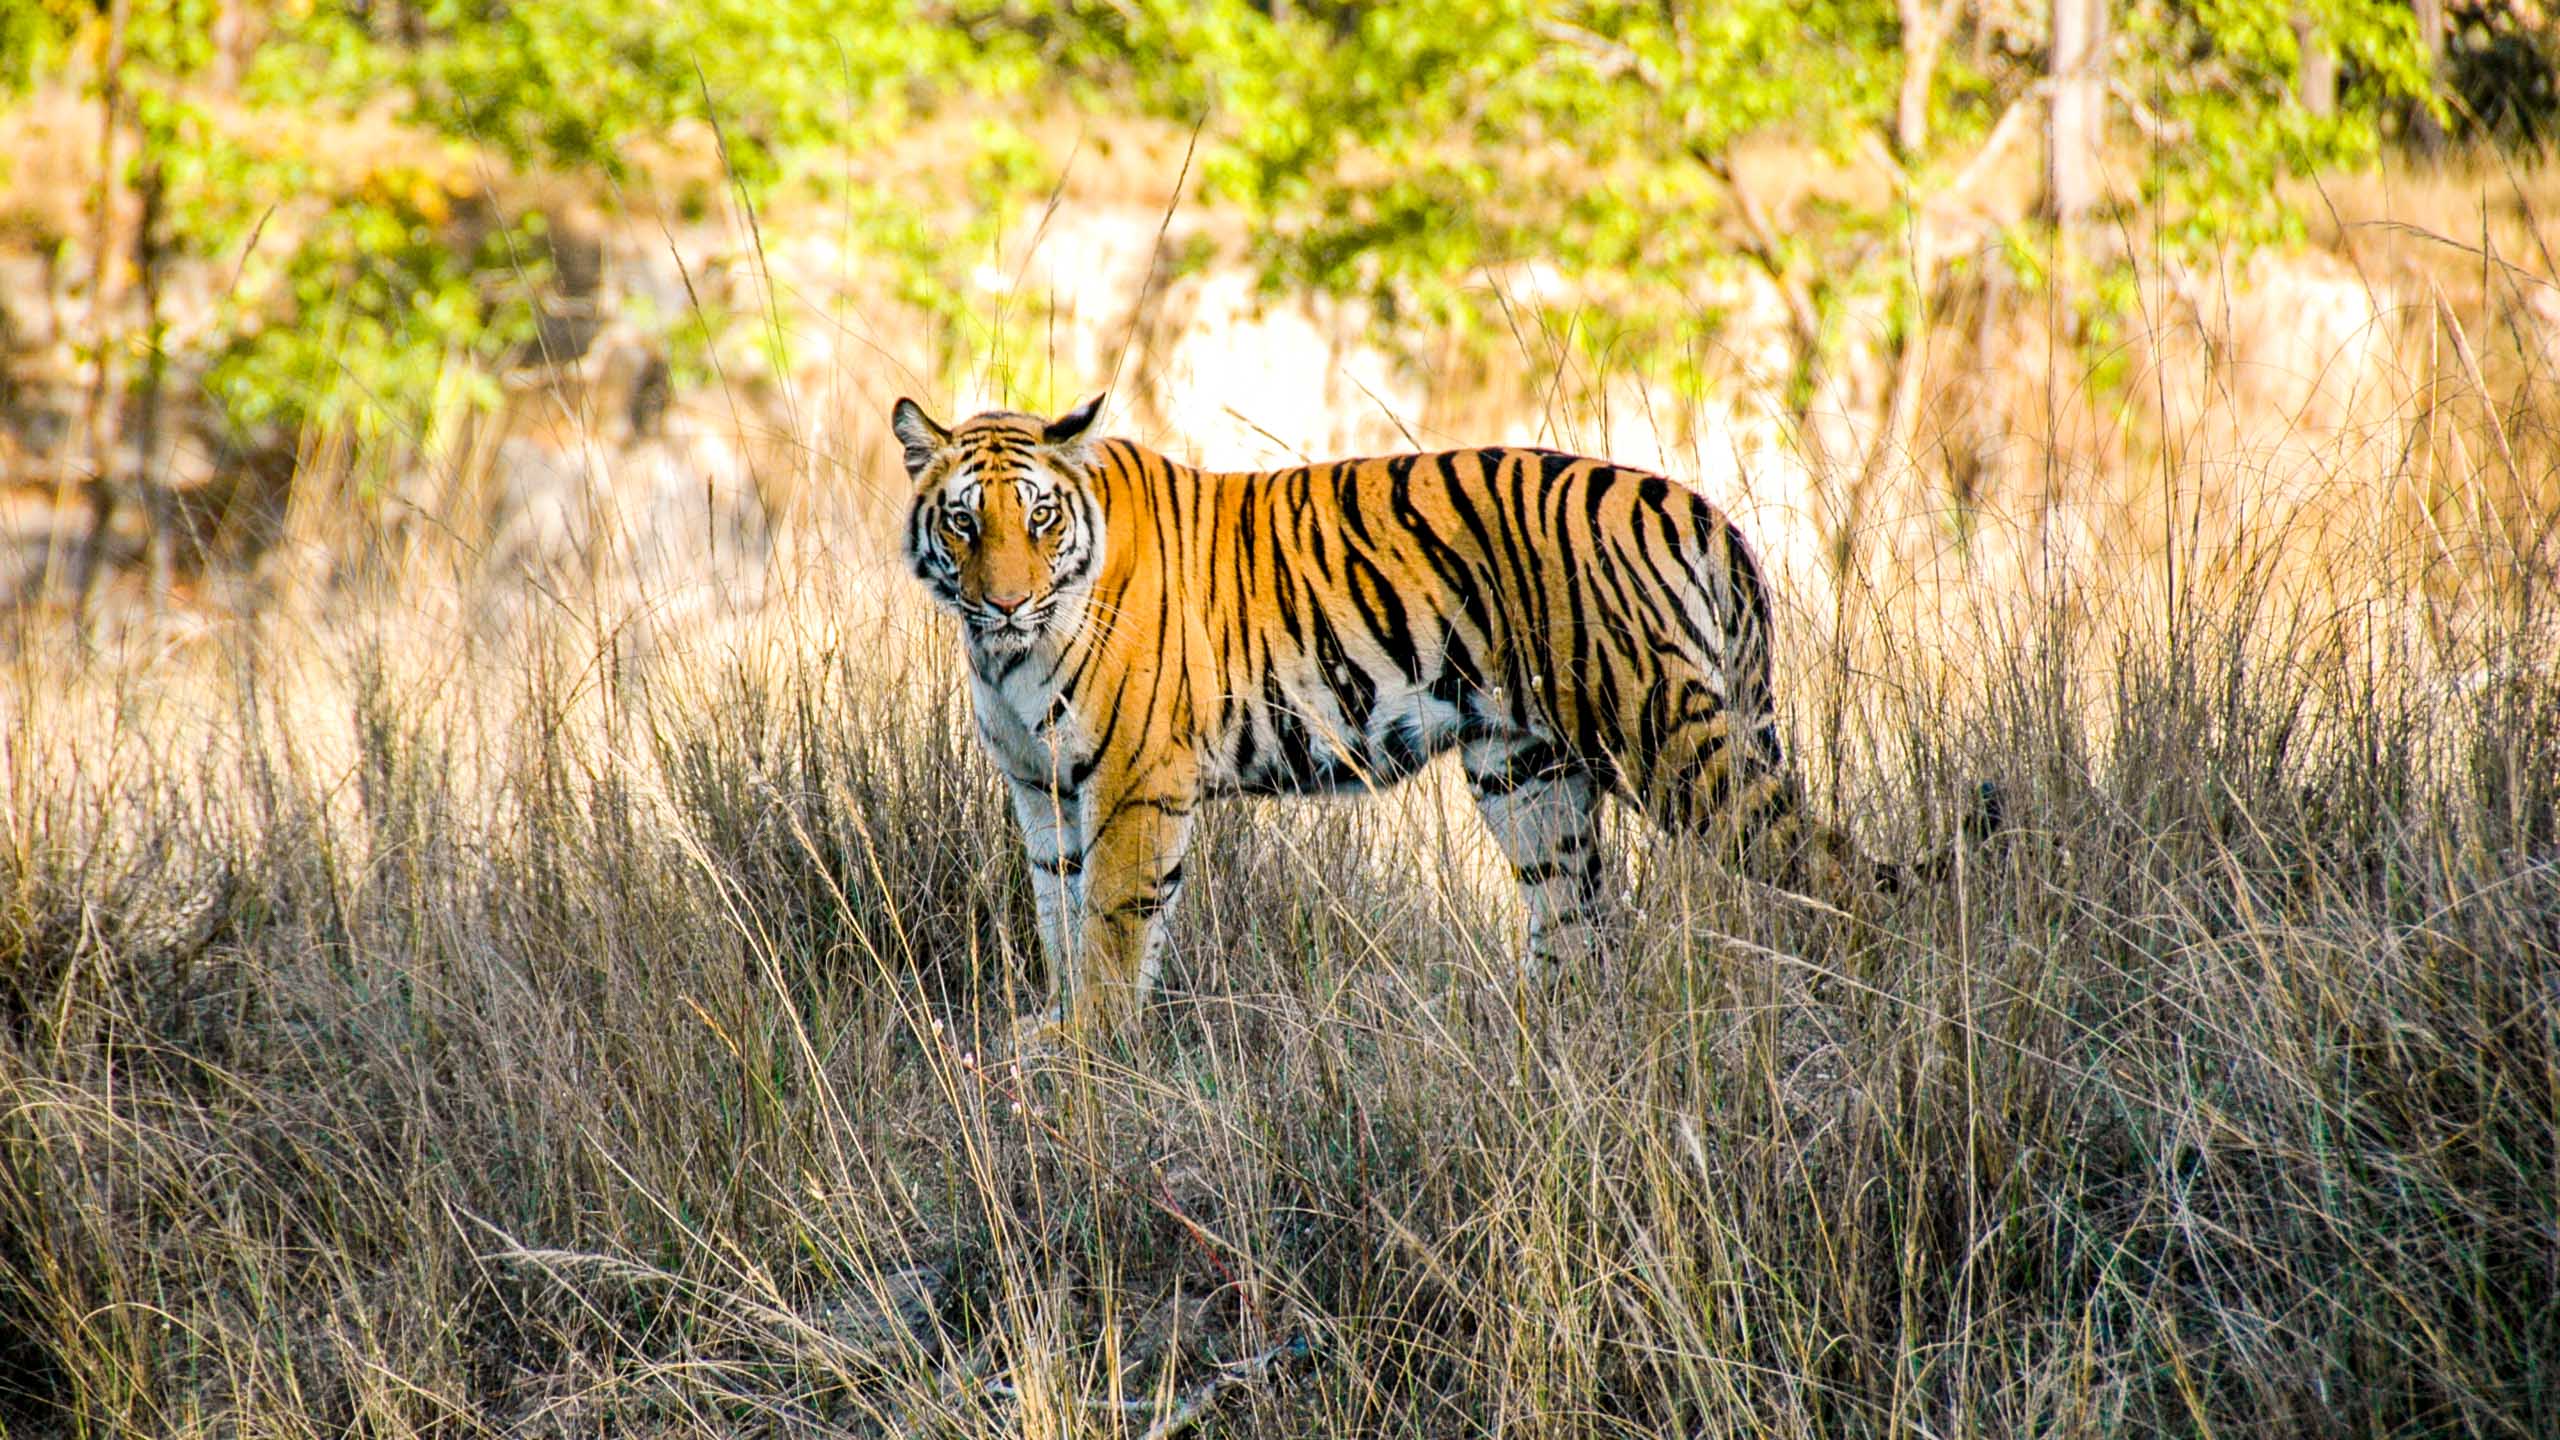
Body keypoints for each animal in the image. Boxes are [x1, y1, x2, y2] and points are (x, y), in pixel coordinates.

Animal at [901, 392, 1996, 1040]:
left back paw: (1868, 1006)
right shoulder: (1042, 788)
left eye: (1038, 517)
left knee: (1828, 873)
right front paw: (1051, 1031)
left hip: (1670, 739)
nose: (1004, 600)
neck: (1002, 654)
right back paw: (1535, 1041)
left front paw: (1089, 1047)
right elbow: (1058, 910)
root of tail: (1701, 508)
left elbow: (1114, 921)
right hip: (1528, 773)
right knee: (1580, 928)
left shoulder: (1135, 782)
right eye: (963, 521)